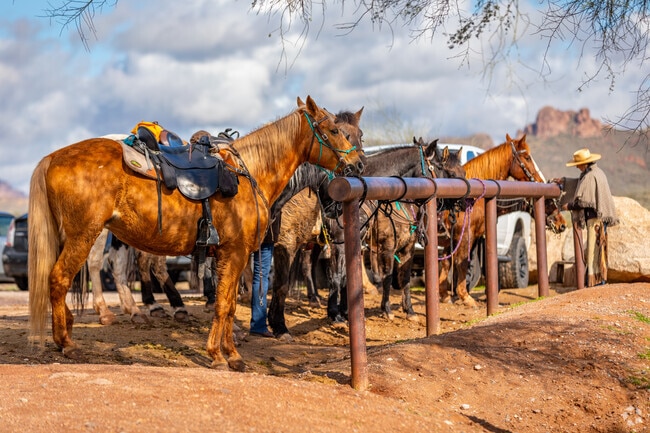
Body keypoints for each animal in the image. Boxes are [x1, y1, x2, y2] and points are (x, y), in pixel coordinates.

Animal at [28, 95, 364, 371]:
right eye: (334, 130)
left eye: (357, 134)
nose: (358, 165)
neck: (249, 173)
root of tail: (53, 157)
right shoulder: (236, 252)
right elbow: (225, 304)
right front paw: (221, 355)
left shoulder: (232, 254)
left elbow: (229, 304)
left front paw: (230, 353)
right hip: (84, 236)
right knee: (62, 278)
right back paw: (69, 341)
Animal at [437, 133, 553, 307]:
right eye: (527, 157)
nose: (540, 180)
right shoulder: (465, 236)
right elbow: (461, 263)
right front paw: (465, 297)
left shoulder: (452, 239)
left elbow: (447, 262)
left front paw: (445, 295)